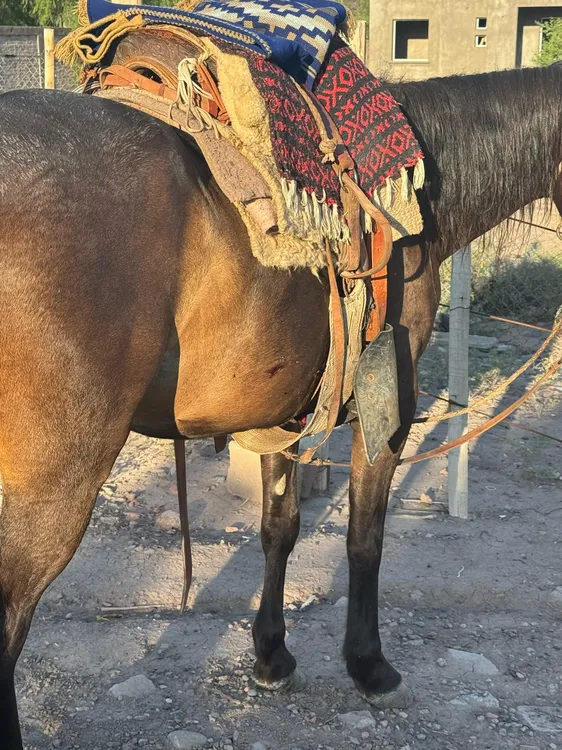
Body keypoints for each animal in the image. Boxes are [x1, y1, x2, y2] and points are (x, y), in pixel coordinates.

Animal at [1, 62, 561, 748]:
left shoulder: (283, 414)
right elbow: (364, 538)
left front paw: (271, 655)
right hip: (55, 483)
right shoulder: (388, 412)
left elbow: (279, 528)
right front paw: (369, 665)